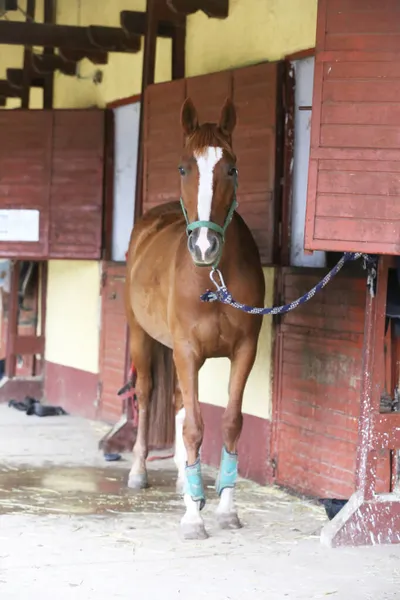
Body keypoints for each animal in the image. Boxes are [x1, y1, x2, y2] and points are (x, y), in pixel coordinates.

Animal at [123, 97, 264, 540]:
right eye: (184, 168)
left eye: (231, 168)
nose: (204, 246)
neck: (212, 277)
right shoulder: (186, 352)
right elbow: (194, 428)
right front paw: (192, 518)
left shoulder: (244, 351)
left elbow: (230, 423)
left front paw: (225, 509)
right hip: (142, 337)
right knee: (147, 394)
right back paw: (139, 472)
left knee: (178, 403)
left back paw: (187, 480)